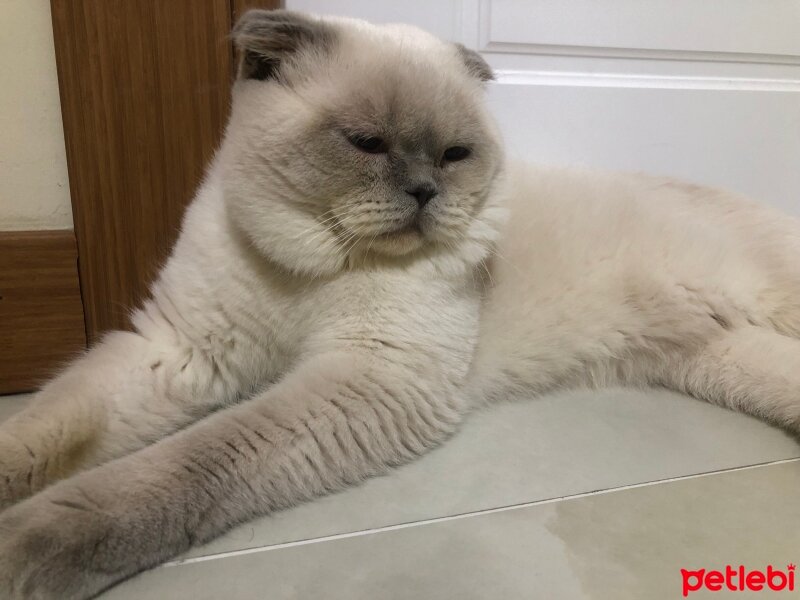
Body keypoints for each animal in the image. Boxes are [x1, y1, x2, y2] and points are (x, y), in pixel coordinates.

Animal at [1, 8, 800, 596]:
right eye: (366, 143)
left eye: (454, 155)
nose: (423, 192)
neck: (310, 269)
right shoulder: (183, 352)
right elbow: (45, 429)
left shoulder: (370, 377)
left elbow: (181, 465)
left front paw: (24, 550)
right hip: (727, 363)